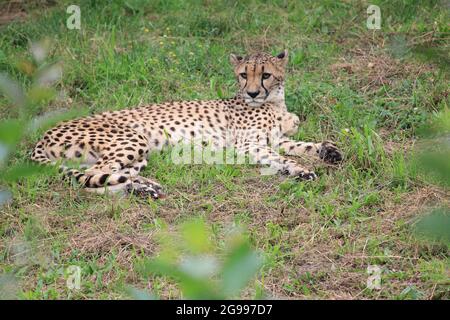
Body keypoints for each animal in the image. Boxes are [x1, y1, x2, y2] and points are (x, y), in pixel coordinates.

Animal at [30, 50, 342, 199]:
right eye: (244, 74)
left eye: (265, 75)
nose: (253, 93)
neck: (273, 102)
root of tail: (41, 136)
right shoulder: (247, 145)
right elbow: (280, 157)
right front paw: (301, 170)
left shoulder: (277, 139)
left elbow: (301, 145)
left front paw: (327, 151)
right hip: (132, 140)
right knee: (90, 178)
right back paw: (138, 189)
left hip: (136, 154)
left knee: (108, 174)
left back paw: (143, 187)